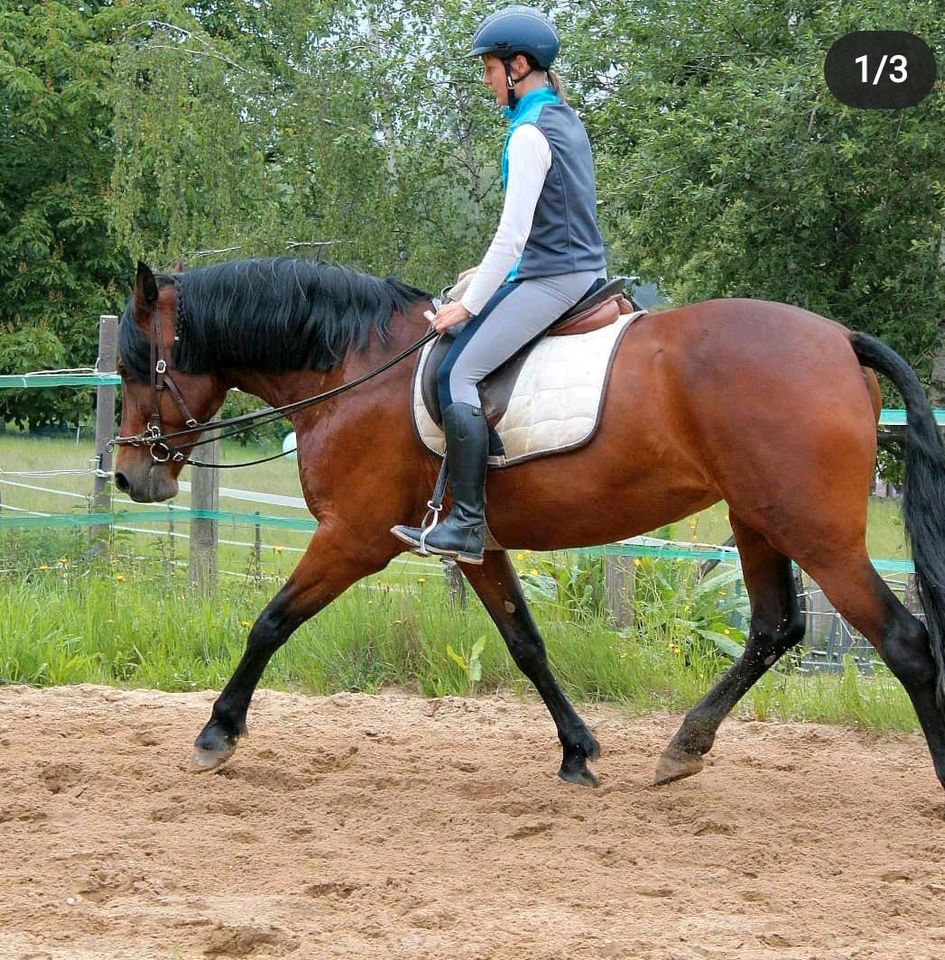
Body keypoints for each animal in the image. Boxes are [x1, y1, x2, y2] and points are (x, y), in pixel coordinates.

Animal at [114, 256, 944, 796]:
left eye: (133, 366)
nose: (127, 476)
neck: (355, 370)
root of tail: (837, 338)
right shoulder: (474, 545)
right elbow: (525, 643)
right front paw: (577, 752)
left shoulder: (353, 537)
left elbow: (270, 622)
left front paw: (217, 734)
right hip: (756, 519)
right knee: (774, 628)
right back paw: (683, 747)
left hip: (814, 532)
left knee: (903, 642)